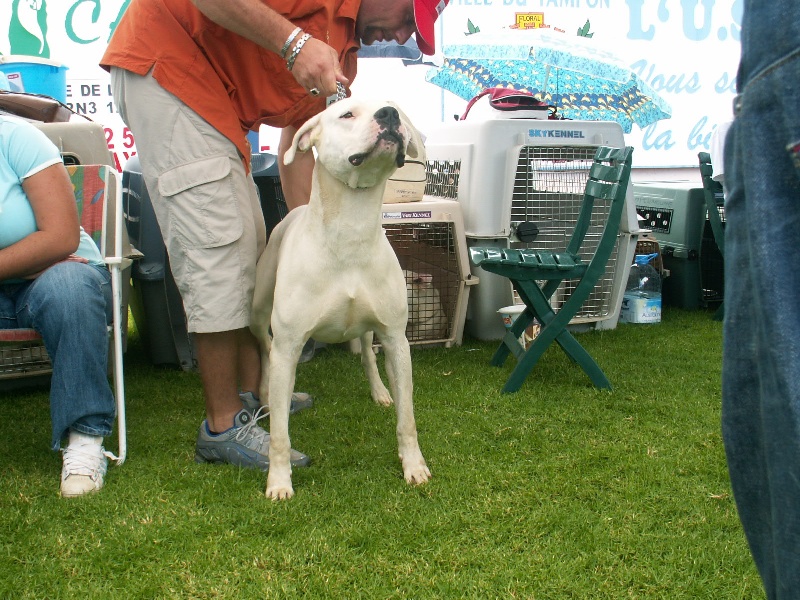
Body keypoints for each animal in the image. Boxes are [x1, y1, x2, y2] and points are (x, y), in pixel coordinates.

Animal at [253, 99, 434, 502]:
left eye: (396, 108)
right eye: (347, 114)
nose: (389, 114)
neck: (351, 230)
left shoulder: (396, 339)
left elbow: (409, 417)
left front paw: (413, 466)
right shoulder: (289, 343)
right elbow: (279, 435)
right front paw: (279, 481)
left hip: (368, 329)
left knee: (367, 354)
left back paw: (381, 391)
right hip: (257, 306)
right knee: (262, 347)